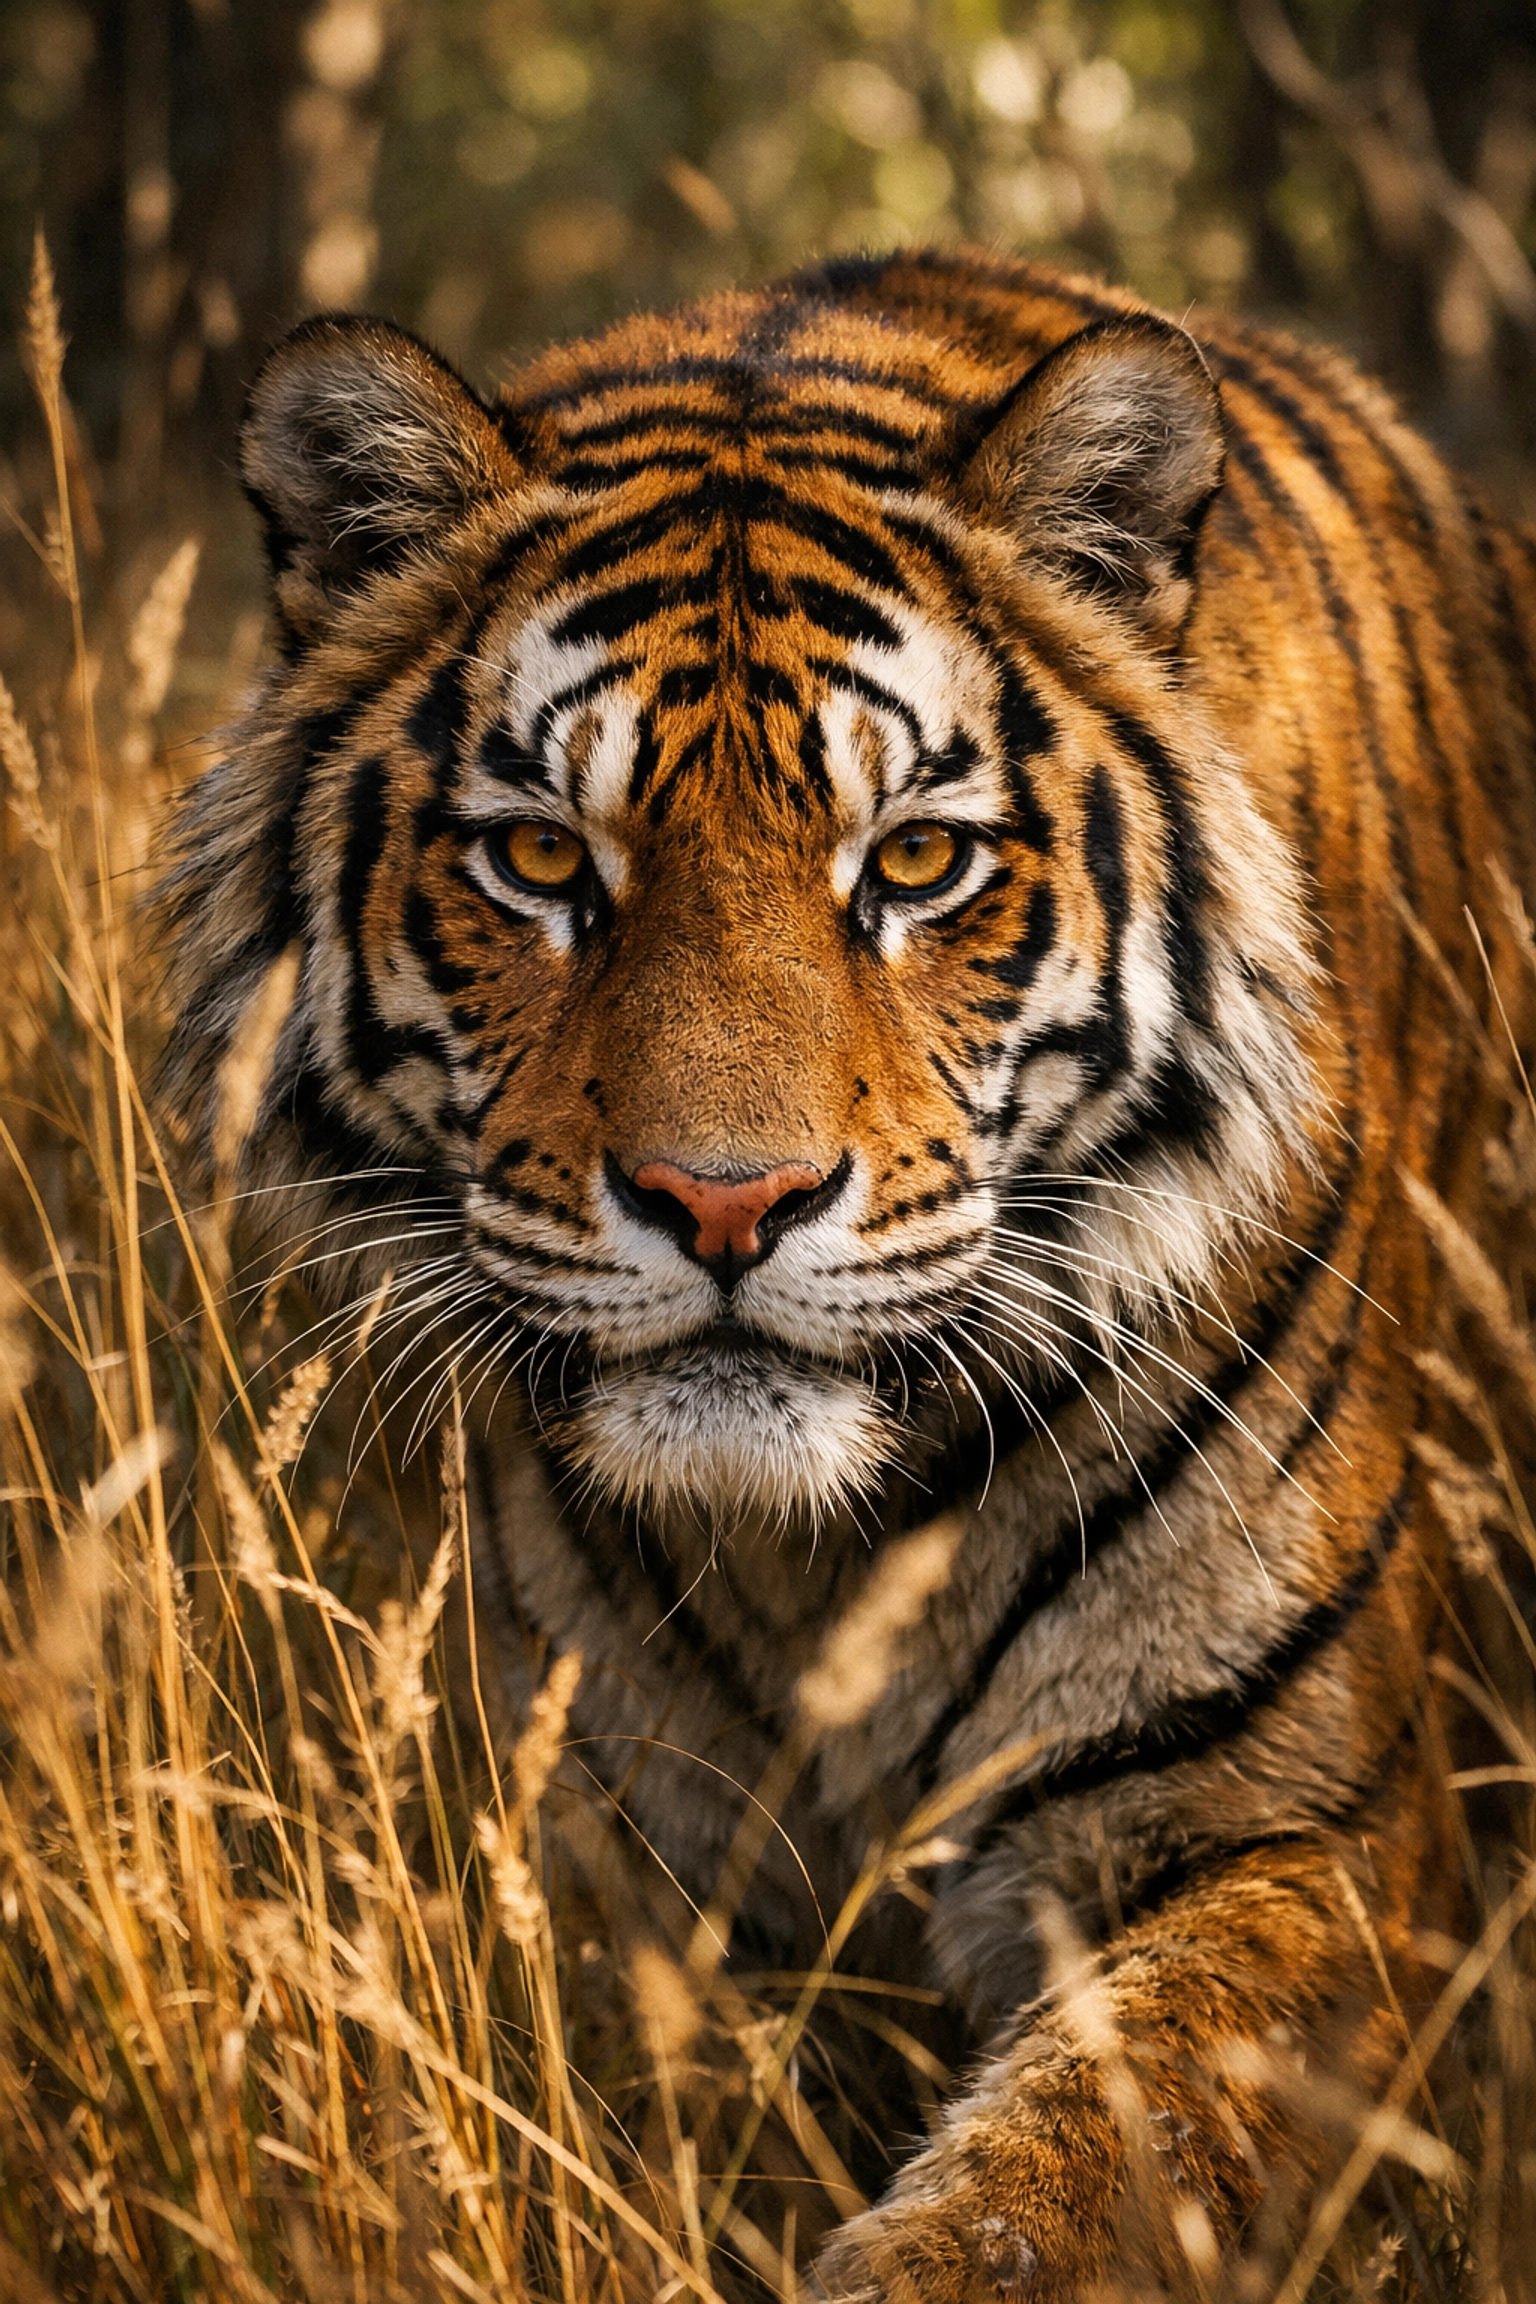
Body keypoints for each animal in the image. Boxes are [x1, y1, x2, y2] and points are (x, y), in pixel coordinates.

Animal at [163, 247, 1536, 2297]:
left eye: (916, 860)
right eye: (539, 857)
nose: (724, 1202)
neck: (818, 1560)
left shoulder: (1301, 1827)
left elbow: (1048, 2200)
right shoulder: (616, 1860)